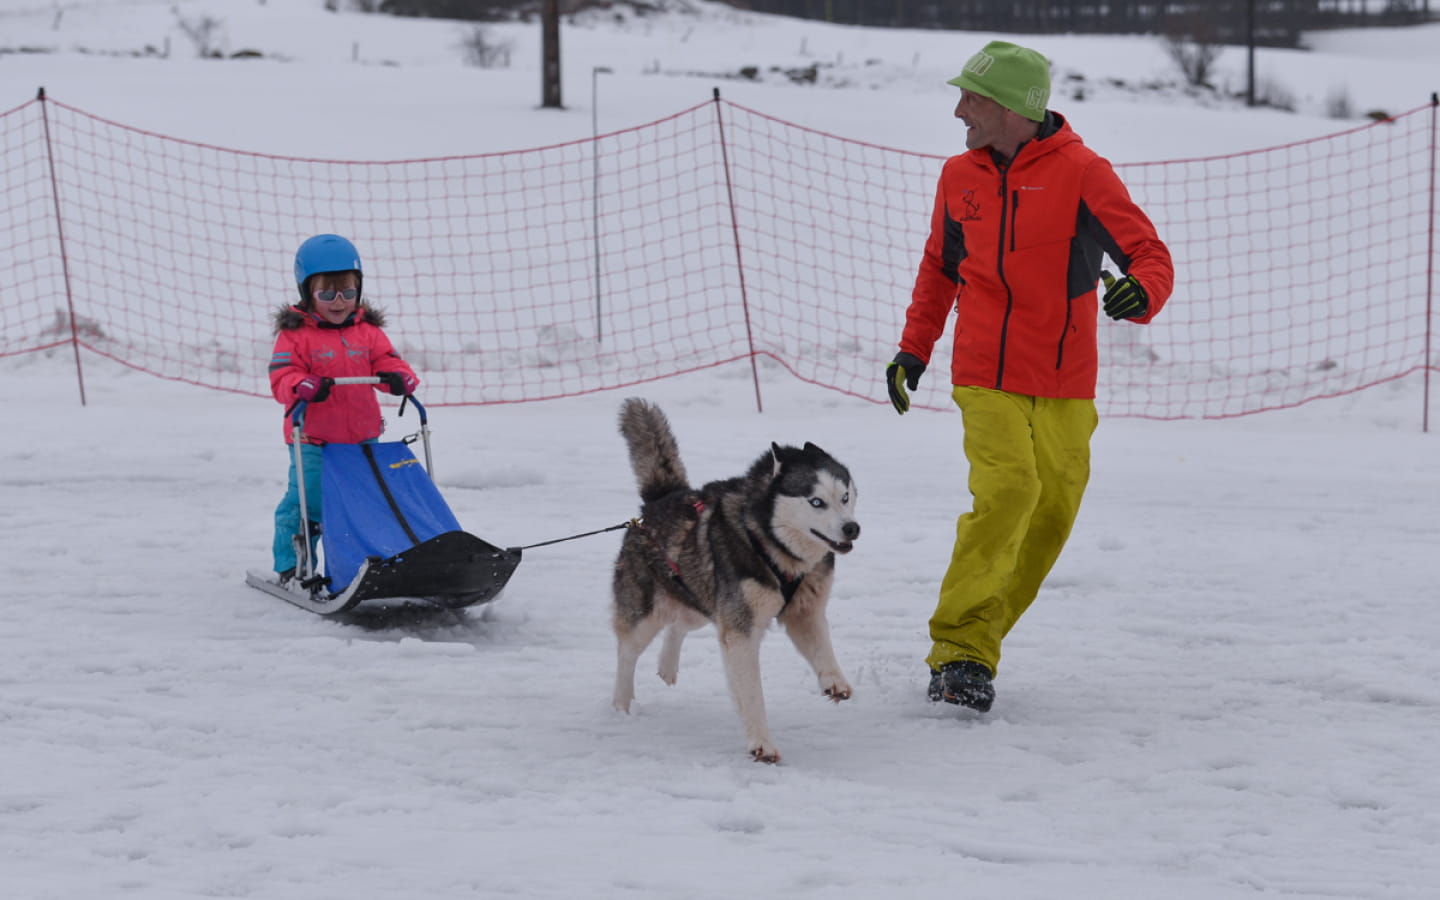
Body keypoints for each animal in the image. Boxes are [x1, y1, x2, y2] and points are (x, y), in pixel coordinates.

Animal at [604, 397, 852, 760]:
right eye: (816, 502)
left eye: (845, 497)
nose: (852, 528)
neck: (769, 541)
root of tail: (656, 503)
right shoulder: (740, 632)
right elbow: (751, 695)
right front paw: (762, 743)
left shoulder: (804, 611)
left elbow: (823, 649)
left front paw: (834, 681)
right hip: (646, 614)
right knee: (626, 654)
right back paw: (621, 705)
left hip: (699, 599)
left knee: (679, 625)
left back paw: (667, 665)